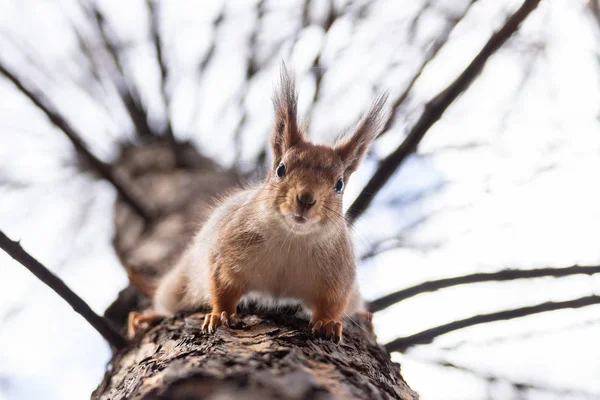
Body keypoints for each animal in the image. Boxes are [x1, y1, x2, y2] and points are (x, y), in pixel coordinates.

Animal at [127, 66, 390, 344]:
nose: (306, 199)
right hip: (181, 282)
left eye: (339, 185)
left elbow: (333, 302)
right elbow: (222, 287)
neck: (292, 239)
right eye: (280, 169)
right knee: (169, 300)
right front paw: (220, 314)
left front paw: (329, 323)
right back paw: (146, 316)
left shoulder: (338, 274)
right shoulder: (226, 253)